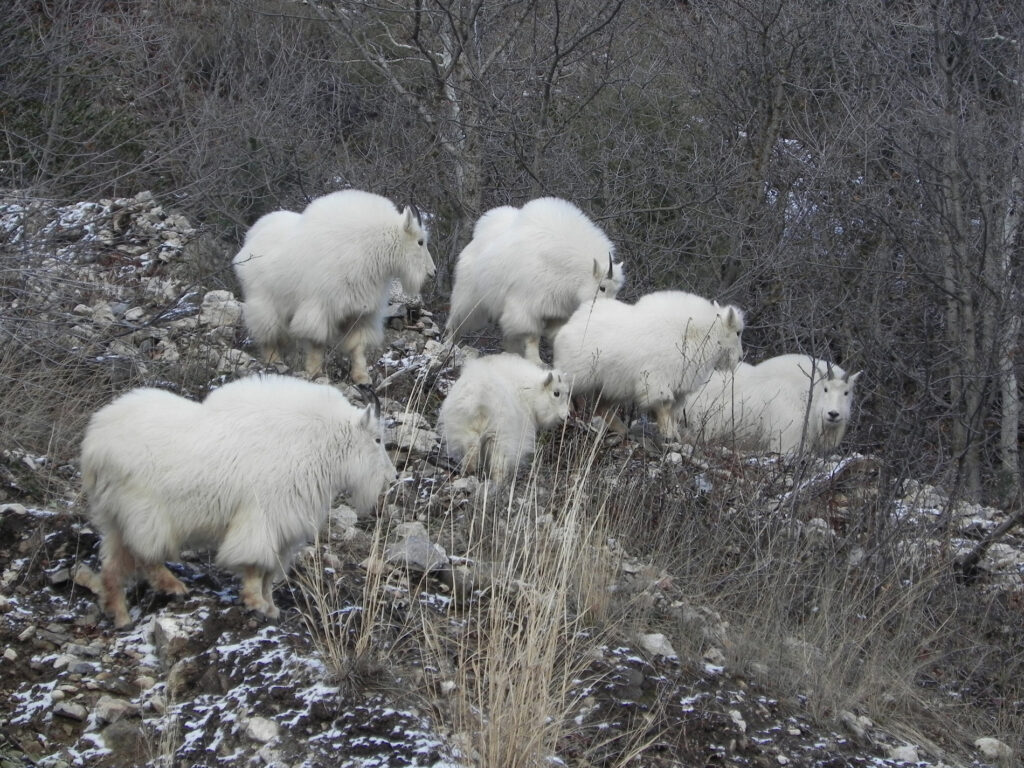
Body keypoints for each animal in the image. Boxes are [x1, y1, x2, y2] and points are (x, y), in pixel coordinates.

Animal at [80, 374, 397, 627]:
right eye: (378, 439)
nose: (392, 477)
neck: (317, 444)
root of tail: (94, 446)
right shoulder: (262, 517)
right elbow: (255, 565)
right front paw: (256, 603)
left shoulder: (283, 530)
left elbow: (270, 572)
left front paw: (271, 607)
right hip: (144, 510)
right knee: (145, 553)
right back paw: (173, 586)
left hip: (116, 514)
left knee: (114, 564)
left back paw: (120, 615)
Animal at [233, 190, 435, 384]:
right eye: (420, 242)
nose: (432, 272)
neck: (372, 248)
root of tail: (249, 239)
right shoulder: (321, 307)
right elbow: (316, 342)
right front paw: (315, 372)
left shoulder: (360, 312)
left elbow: (358, 346)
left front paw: (362, 377)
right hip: (263, 301)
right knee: (267, 333)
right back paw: (274, 361)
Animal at [438, 353, 570, 485]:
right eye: (556, 393)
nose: (567, 415)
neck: (530, 391)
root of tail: (479, 396)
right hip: (500, 432)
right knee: (498, 459)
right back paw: (501, 482)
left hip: (463, 425)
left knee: (472, 445)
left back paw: (468, 470)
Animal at [446, 197, 625, 365]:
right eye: (602, 287)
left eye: (617, 291)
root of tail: (475, 239)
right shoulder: (527, 306)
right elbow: (532, 335)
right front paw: (537, 361)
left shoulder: (557, 311)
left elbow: (555, 335)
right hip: (469, 297)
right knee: (456, 321)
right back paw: (449, 345)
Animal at [552, 290, 745, 441]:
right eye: (738, 332)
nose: (740, 357)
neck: (698, 334)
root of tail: (571, 322)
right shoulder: (657, 381)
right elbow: (664, 406)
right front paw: (668, 434)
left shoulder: (678, 387)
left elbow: (672, 412)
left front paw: (675, 434)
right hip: (579, 373)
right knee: (567, 389)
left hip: (612, 385)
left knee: (601, 408)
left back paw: (622, 428)